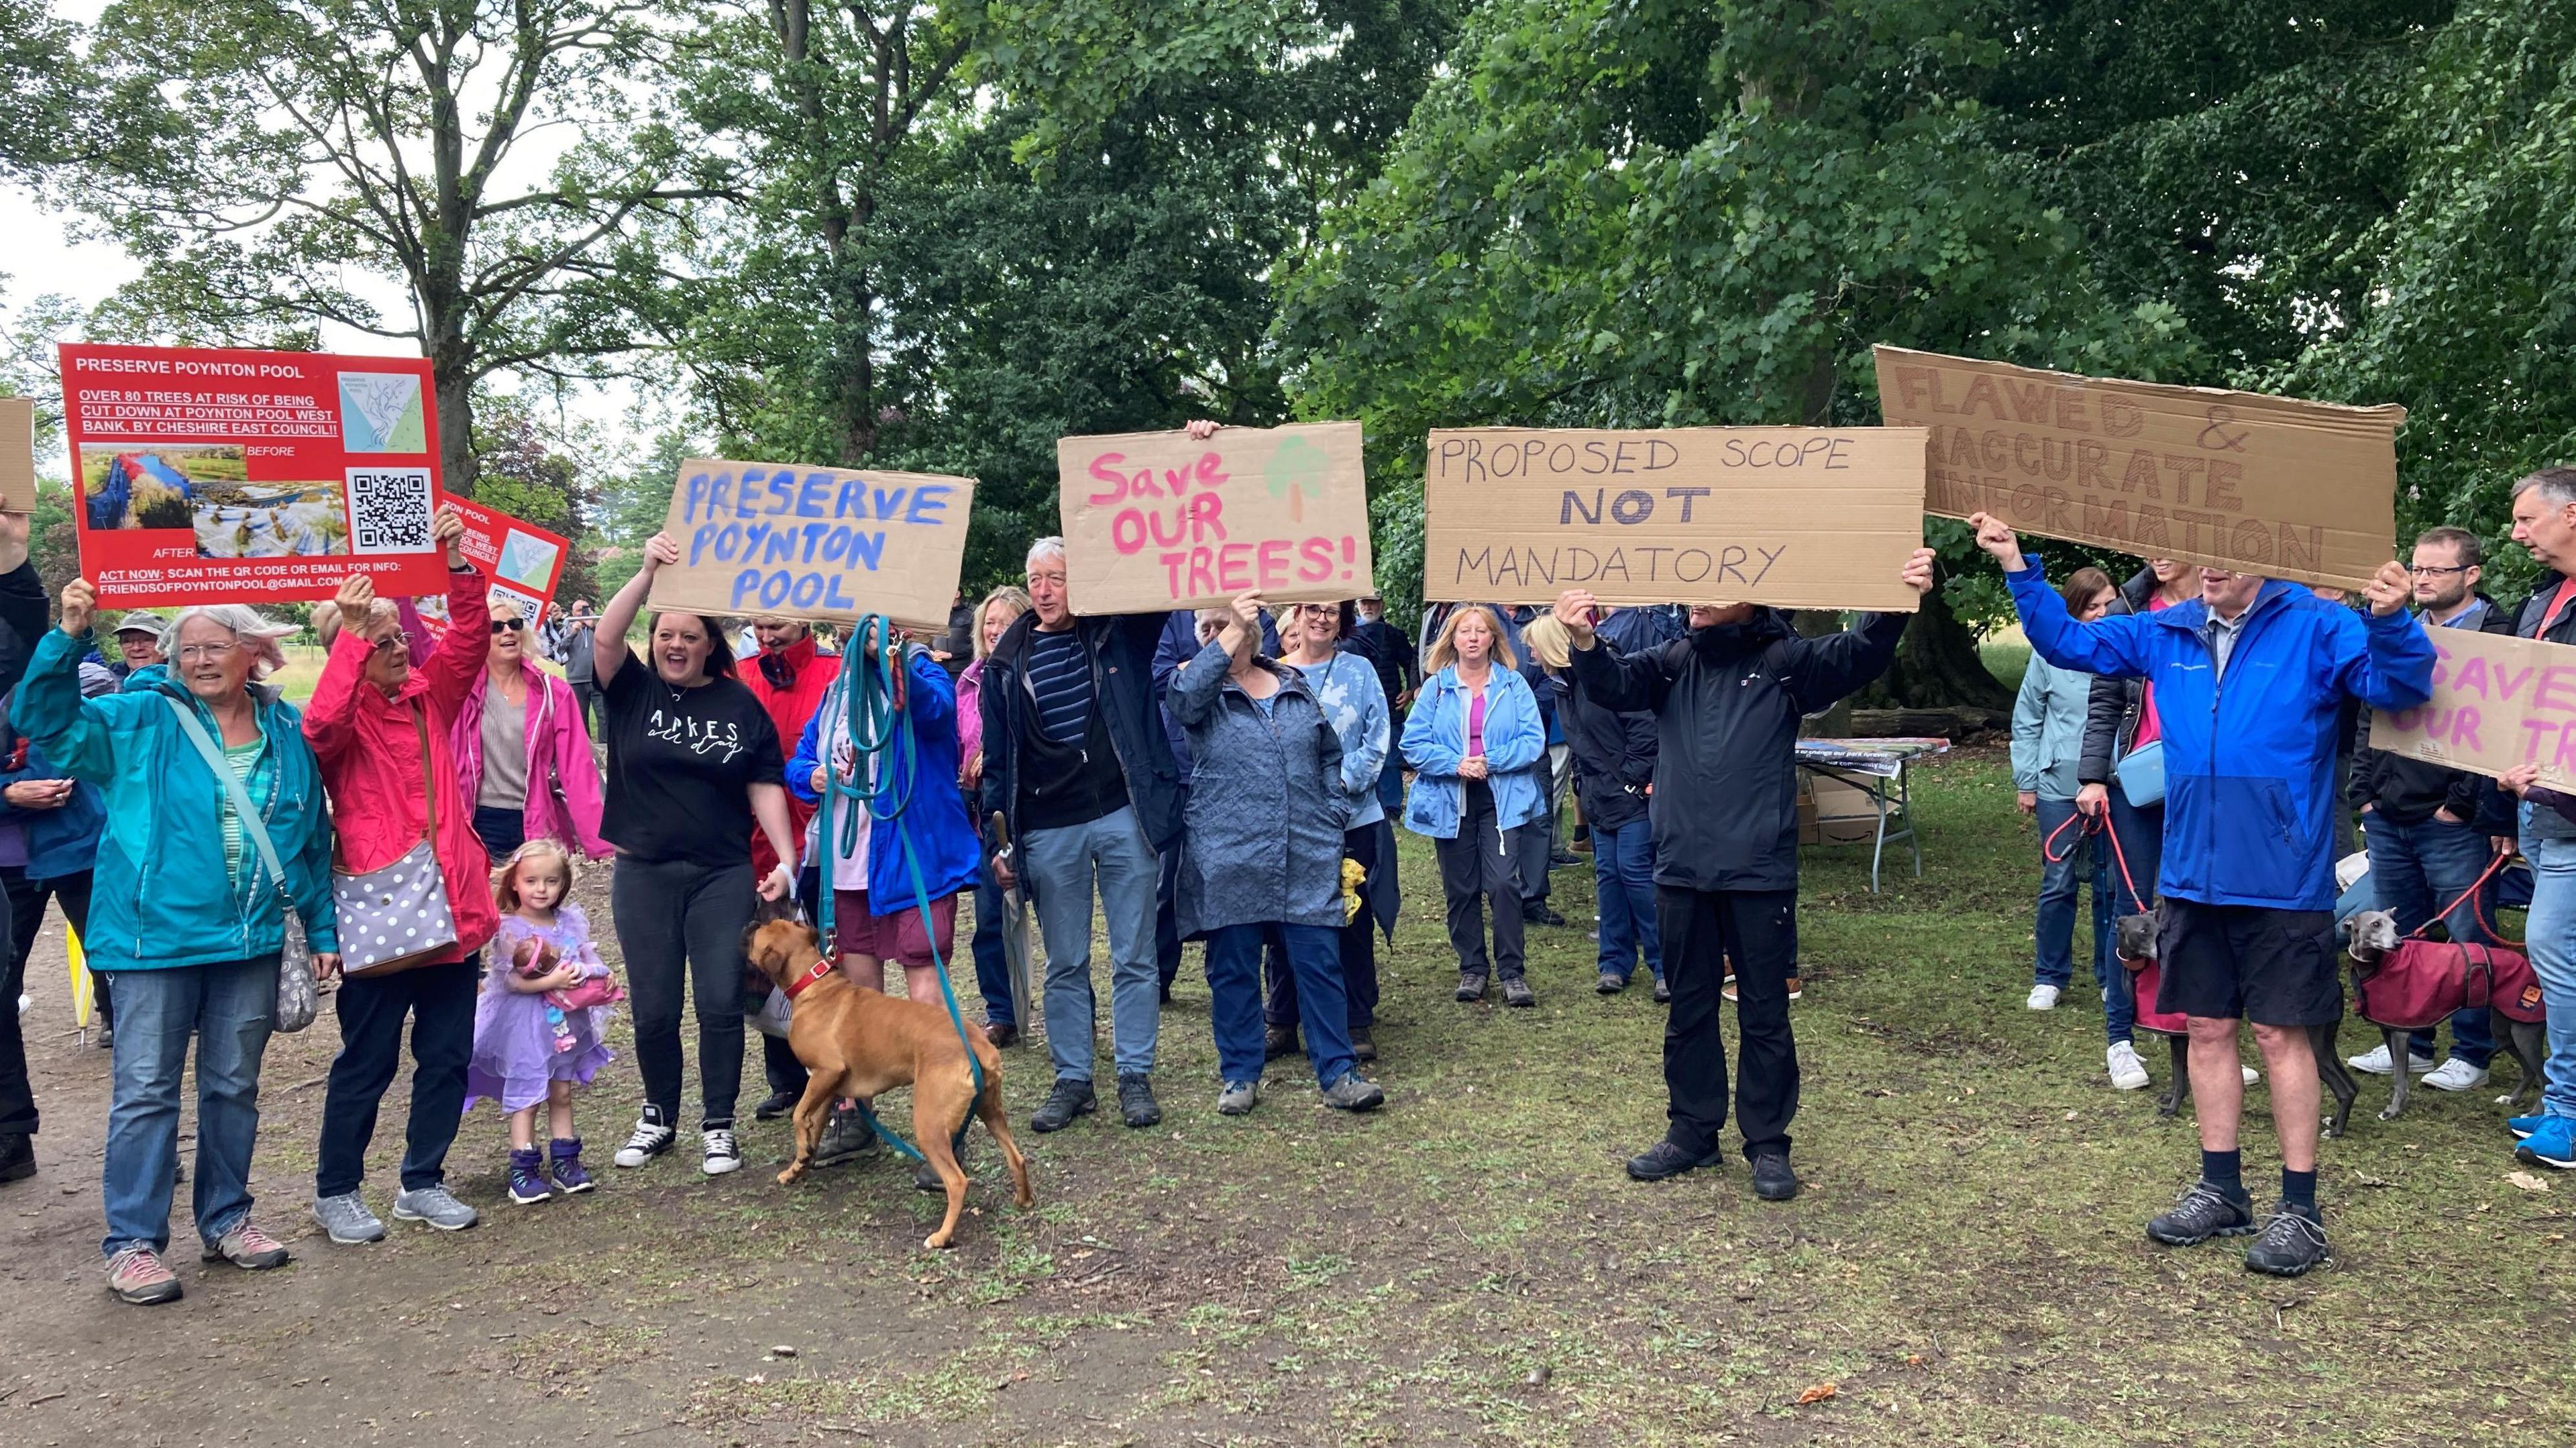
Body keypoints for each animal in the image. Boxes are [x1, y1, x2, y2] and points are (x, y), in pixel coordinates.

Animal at [741, 912, 1030, 1241]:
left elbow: (798, 1114)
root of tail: (975, 1043)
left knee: (957, 1182)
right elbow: (811, 1126)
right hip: (990, 1111)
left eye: (760, 933)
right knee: (1016, 1158)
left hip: (929, 1124)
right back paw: (1023, 1200)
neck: (813, 983)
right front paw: (799, 1164)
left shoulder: (826, 1072)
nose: (750, 922)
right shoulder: (826, 1088)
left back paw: (941, 1236)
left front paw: (802, 1150)